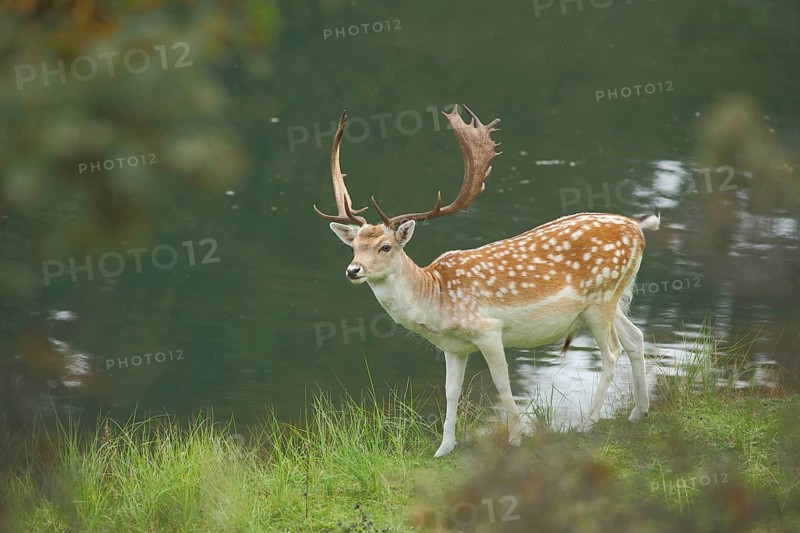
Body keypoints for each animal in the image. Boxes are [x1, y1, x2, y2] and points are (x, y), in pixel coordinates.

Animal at [313, 105, 660, 457]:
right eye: (354, 247)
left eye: (385, 247)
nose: (353, 270)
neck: (437, 299)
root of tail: (637, 227)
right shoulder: (454, 347)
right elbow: (451, 391)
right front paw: (444, 448)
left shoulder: (489, 330)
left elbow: (502, 384)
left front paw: (516, 438)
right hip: (610, 299)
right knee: (635, 337)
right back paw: (639, 412)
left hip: (601, 300)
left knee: (612, 353)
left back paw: (587, 423)